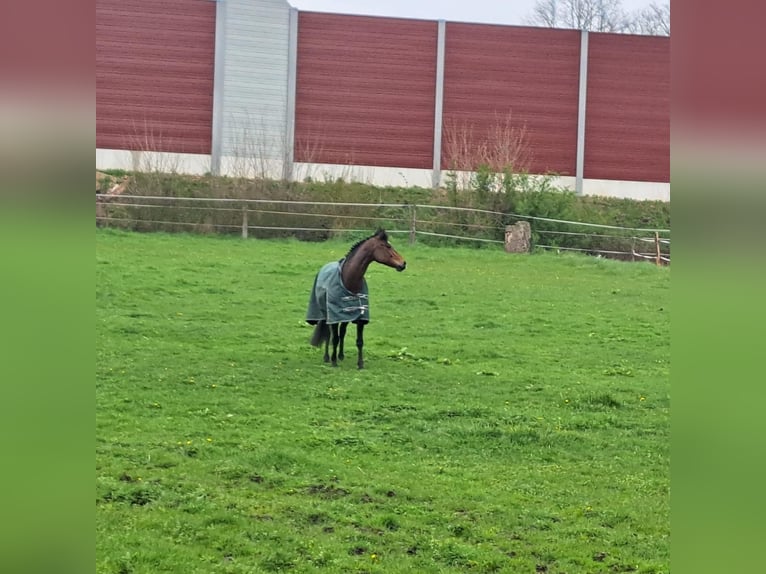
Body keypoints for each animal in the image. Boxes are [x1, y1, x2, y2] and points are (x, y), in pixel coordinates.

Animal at [308, 230, 412, 368]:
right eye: (388, 246)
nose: (403, 263)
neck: (348, 280)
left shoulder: (360, 317)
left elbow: (359, 341)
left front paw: (360, 364)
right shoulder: (334, 317)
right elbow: (334, 338)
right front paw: (334, 362)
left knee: (342, 332)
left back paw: (341, 355)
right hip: (326, 314)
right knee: (329, 334)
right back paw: (327, 357)